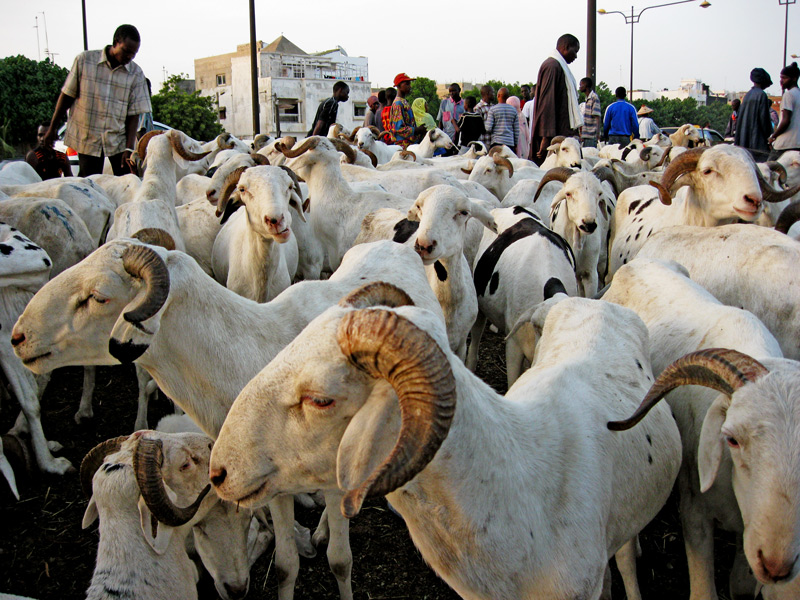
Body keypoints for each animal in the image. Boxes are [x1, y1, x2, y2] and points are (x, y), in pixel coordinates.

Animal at [12, 237, 444, 600]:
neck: (246, 354)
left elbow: (340, 561)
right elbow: (285, 565)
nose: (17, 338)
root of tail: (397, 244)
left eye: (98, 297)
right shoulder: (269, 487)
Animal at [603, 257, 787, 600]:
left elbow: (741, 585)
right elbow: (703, 590)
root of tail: (637, 262)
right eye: (733, 439)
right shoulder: (694, 507)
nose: (776, 563)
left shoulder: (749, 536)